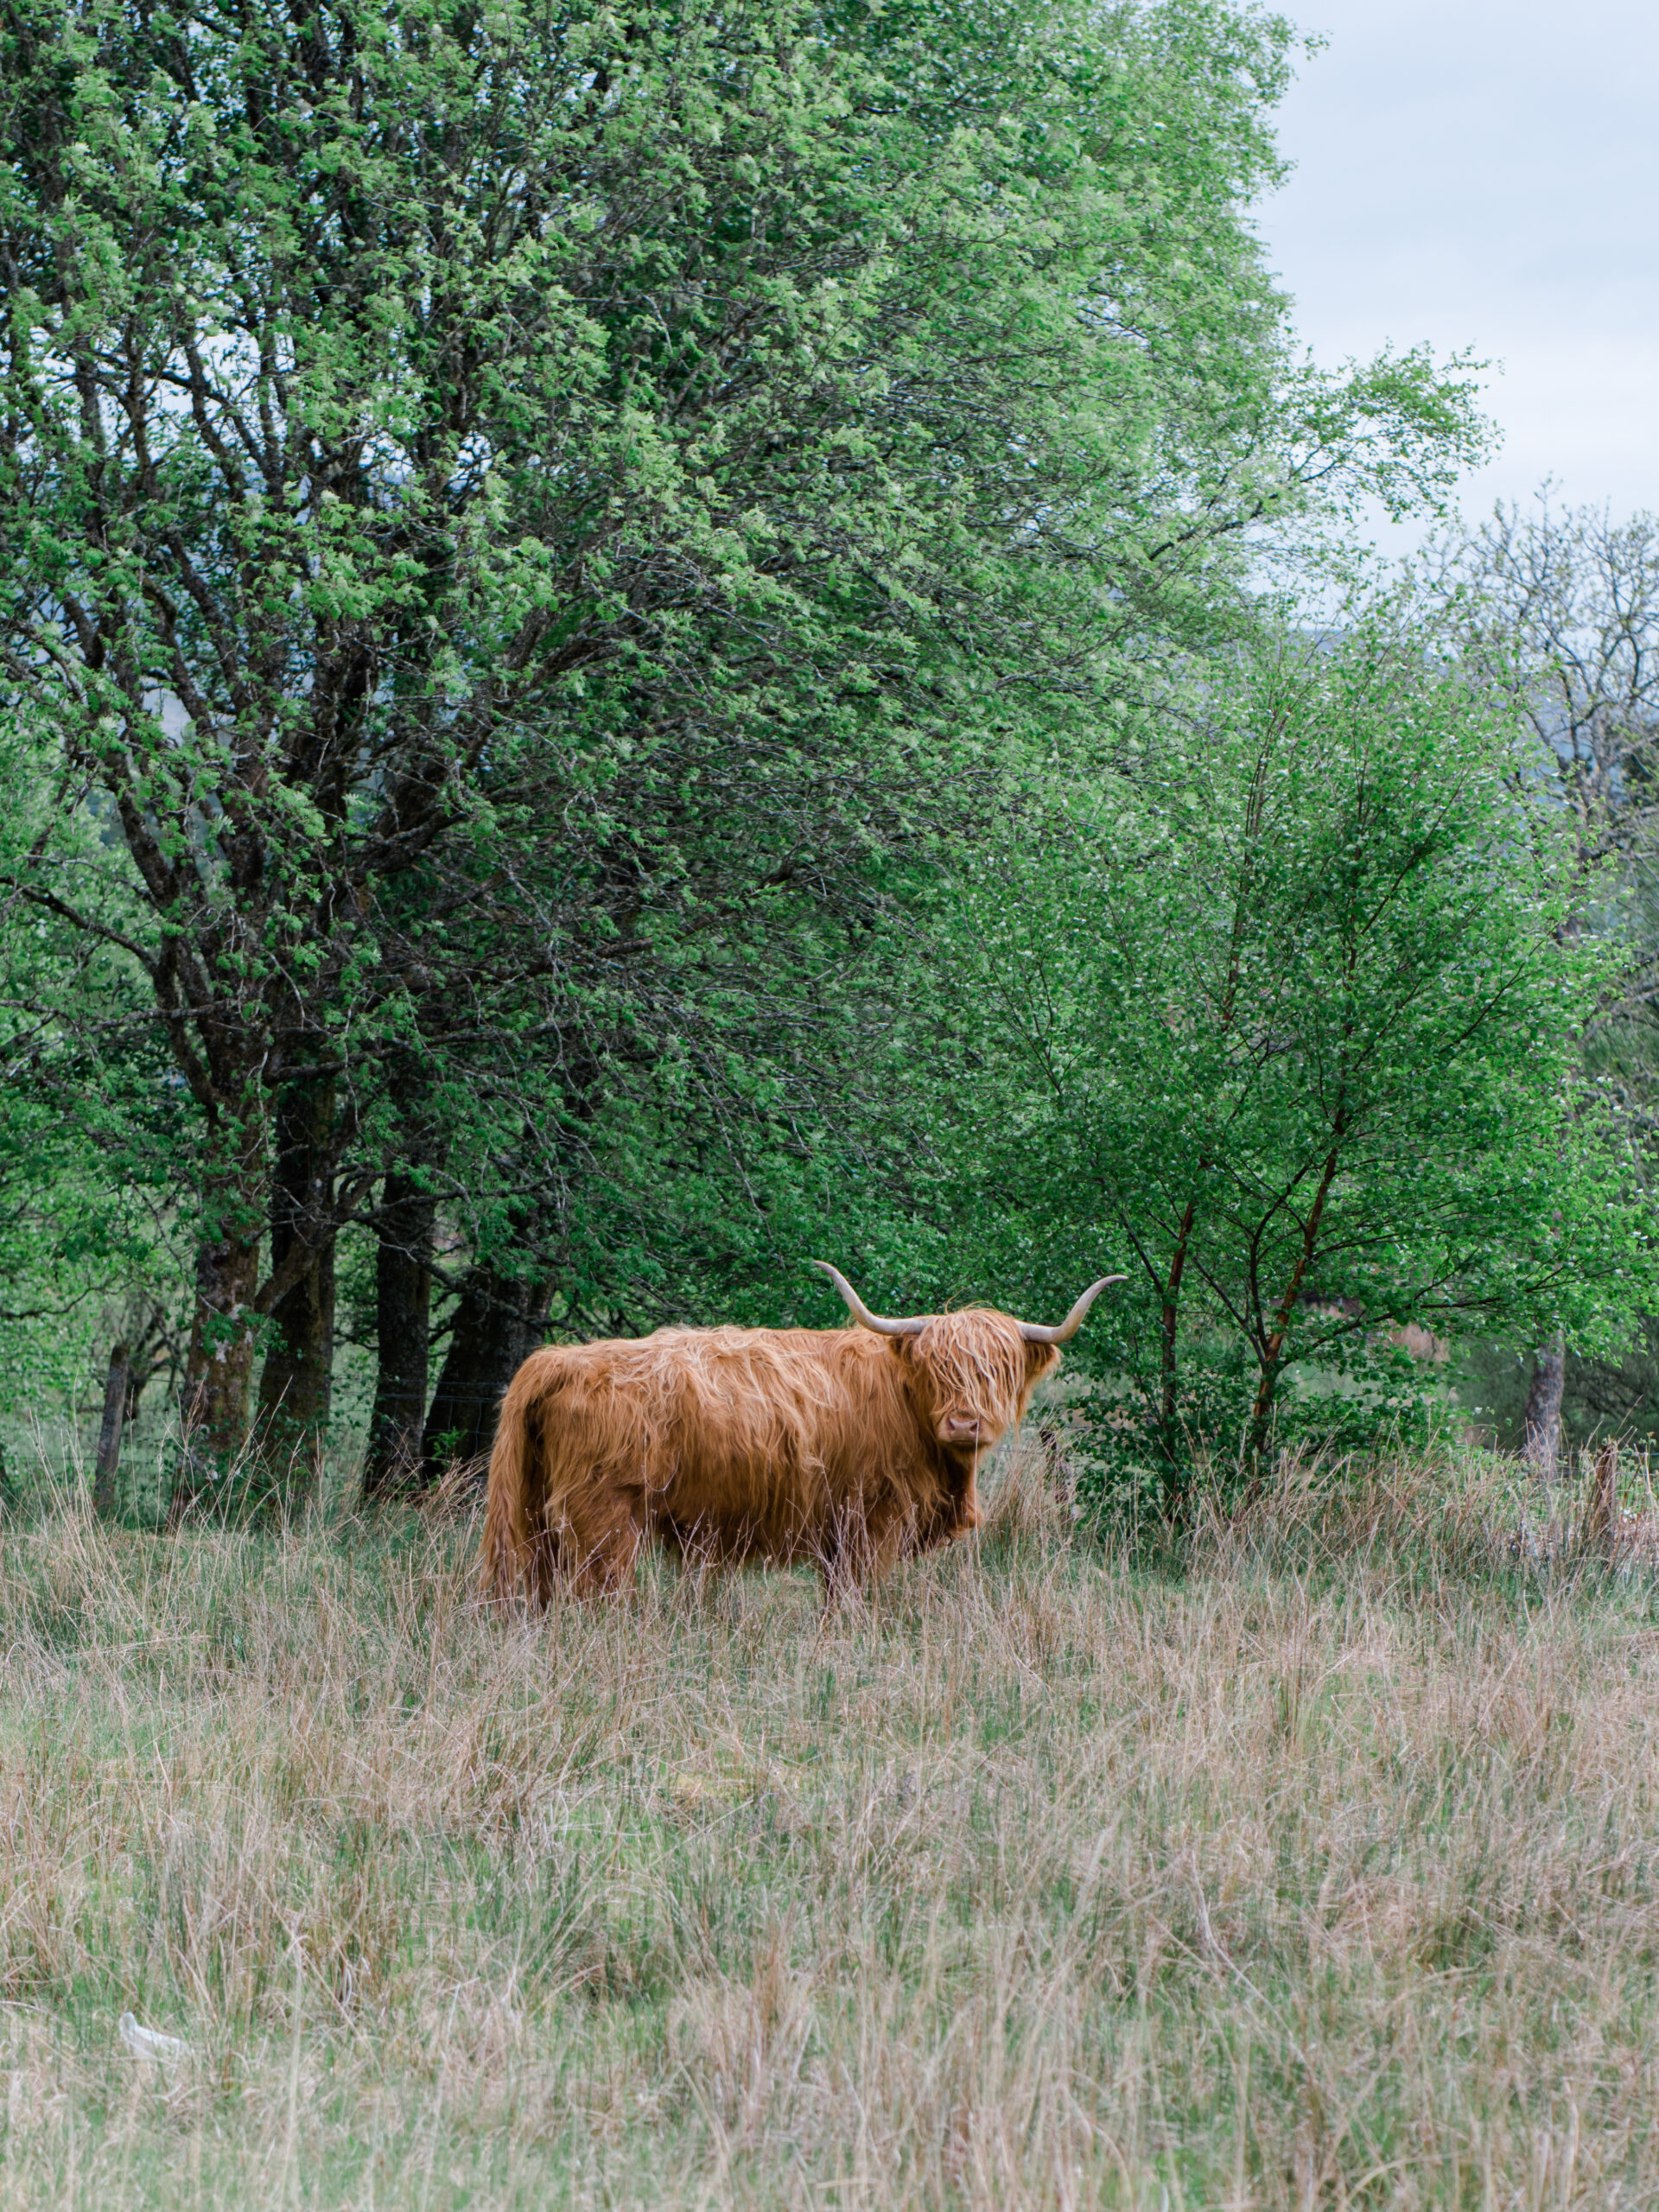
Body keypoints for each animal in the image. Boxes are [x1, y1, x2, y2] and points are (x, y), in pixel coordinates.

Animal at [484, 1265, 1132, 1610]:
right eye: (937, 1368)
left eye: (997, 1369)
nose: (965, 1423)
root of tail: (558, 1360)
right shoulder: (871, 1521)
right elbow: (852, 1598)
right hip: (603, 1520)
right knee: (599, 1597)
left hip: (534, 1517)